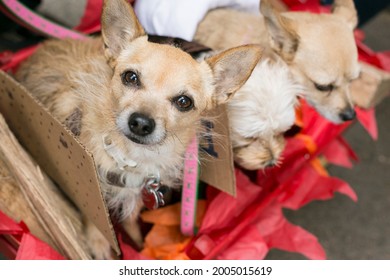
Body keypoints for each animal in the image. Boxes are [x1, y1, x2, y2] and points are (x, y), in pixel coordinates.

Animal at [16, 0, 262, 258]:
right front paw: (99, 243)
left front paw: (138, 247)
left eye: (184, 102)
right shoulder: (88, 184)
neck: (132, 157)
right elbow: (92, 215)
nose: (141, 123)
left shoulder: (133, 197)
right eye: (130, 77)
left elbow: (132, 223)